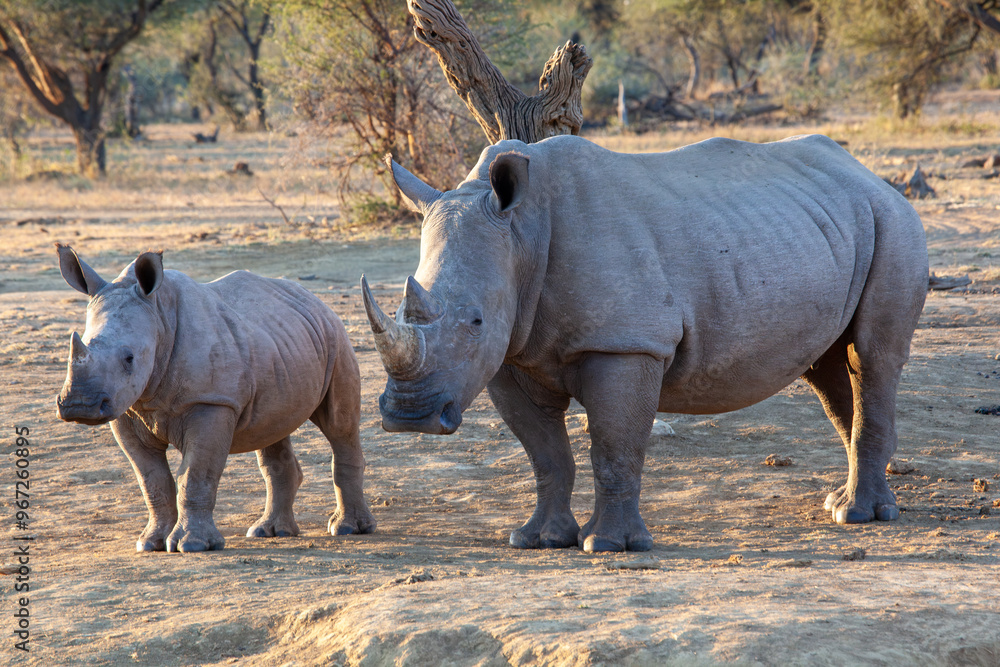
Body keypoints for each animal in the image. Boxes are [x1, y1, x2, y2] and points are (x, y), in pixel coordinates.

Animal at [56, 245, 375, 552]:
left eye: (129, 358)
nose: (79, 406)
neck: (159, 316)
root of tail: (314, 299)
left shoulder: (211, 401)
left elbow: (195, 475)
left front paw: (192, 545)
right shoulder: (127, 409)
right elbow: (152, 480)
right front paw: (150, 543)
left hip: (336, 335)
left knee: (339, 426)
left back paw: (348, 529)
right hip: (280, 343)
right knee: (272, 428)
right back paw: (270, 532)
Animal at [361, 134, 929, 553]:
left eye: (476, 321)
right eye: (398, 312)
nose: (410, 417)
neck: (520, 232)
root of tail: (870, 175)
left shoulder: (626, 343)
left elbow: (613, 446)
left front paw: (608, 547)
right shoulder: (509, 357)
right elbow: (545, 453)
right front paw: (537, 540)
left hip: (894, 222)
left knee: (872, 357)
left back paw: (860, 516)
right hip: (821, 226)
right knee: (830, 372)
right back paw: (842, 503)